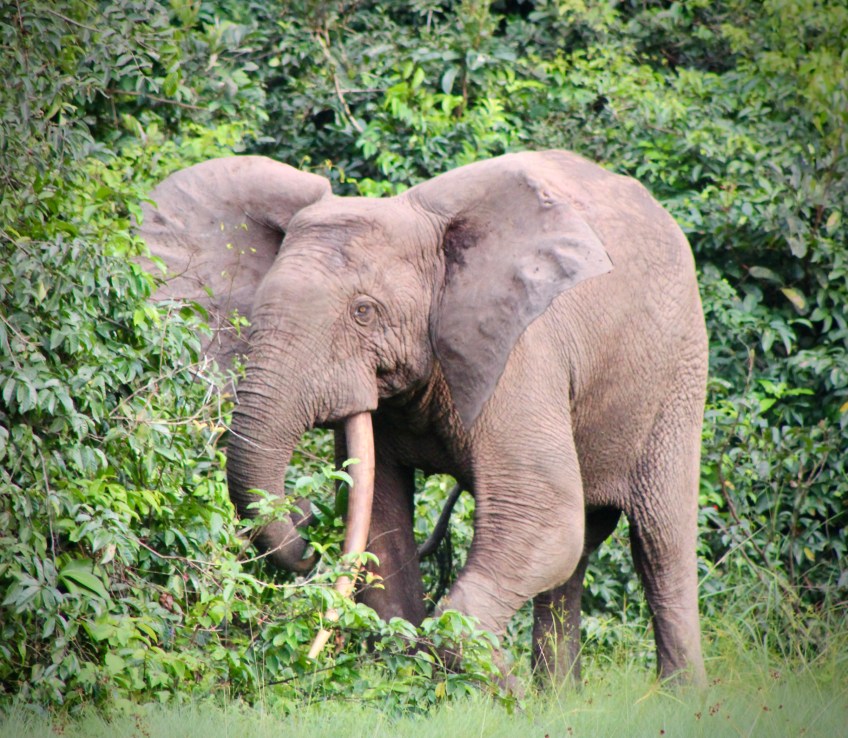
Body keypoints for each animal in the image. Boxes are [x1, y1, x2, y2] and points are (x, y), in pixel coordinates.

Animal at [139, 150, 708, 686]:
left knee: (658, 542)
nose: (304, 524)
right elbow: (380, 528)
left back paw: (677, 698)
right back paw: (560, 702)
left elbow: (542, 516)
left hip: (679, 371)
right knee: (580, 554)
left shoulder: (523, 355)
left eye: (364, 312)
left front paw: (502, 688)